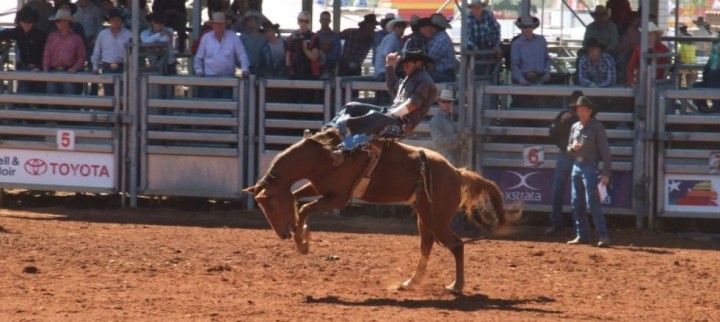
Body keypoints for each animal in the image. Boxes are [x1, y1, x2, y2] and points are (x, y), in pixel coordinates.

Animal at [245, 127, 510, 294]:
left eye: (270, 205)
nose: (283, 234)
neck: (326, 154)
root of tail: (456, 172)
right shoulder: (318, 187)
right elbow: (297, 199)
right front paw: (304, 237)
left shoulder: (339, 198)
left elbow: (305, 208)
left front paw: (302, 243)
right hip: (425, 217)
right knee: (427, 245)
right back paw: (411, 283)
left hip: (438, 220)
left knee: (456, 245)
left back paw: (456, 286)